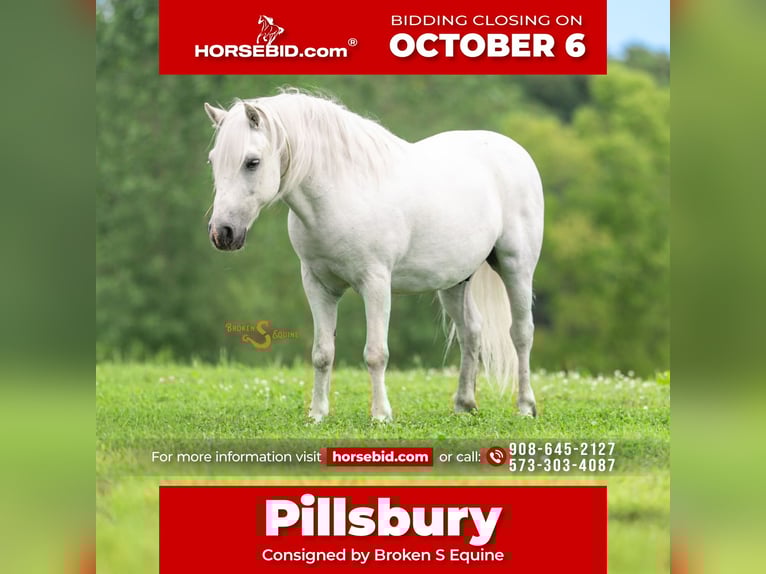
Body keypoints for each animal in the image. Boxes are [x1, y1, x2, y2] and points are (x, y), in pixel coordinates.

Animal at [203, 92, 544, 421]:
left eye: (252, 162)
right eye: (213, 161)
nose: (223, 233)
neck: (341, 193)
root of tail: (515, 151)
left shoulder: (376, 283)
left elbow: (376, 353)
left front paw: (380, 415)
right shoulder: (317, 285)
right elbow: (322, 353)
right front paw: (317, 414)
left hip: (516, 266)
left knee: (521, 333)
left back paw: (526, 406)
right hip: (455, 282)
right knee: (470, 331)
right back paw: (464, 404)